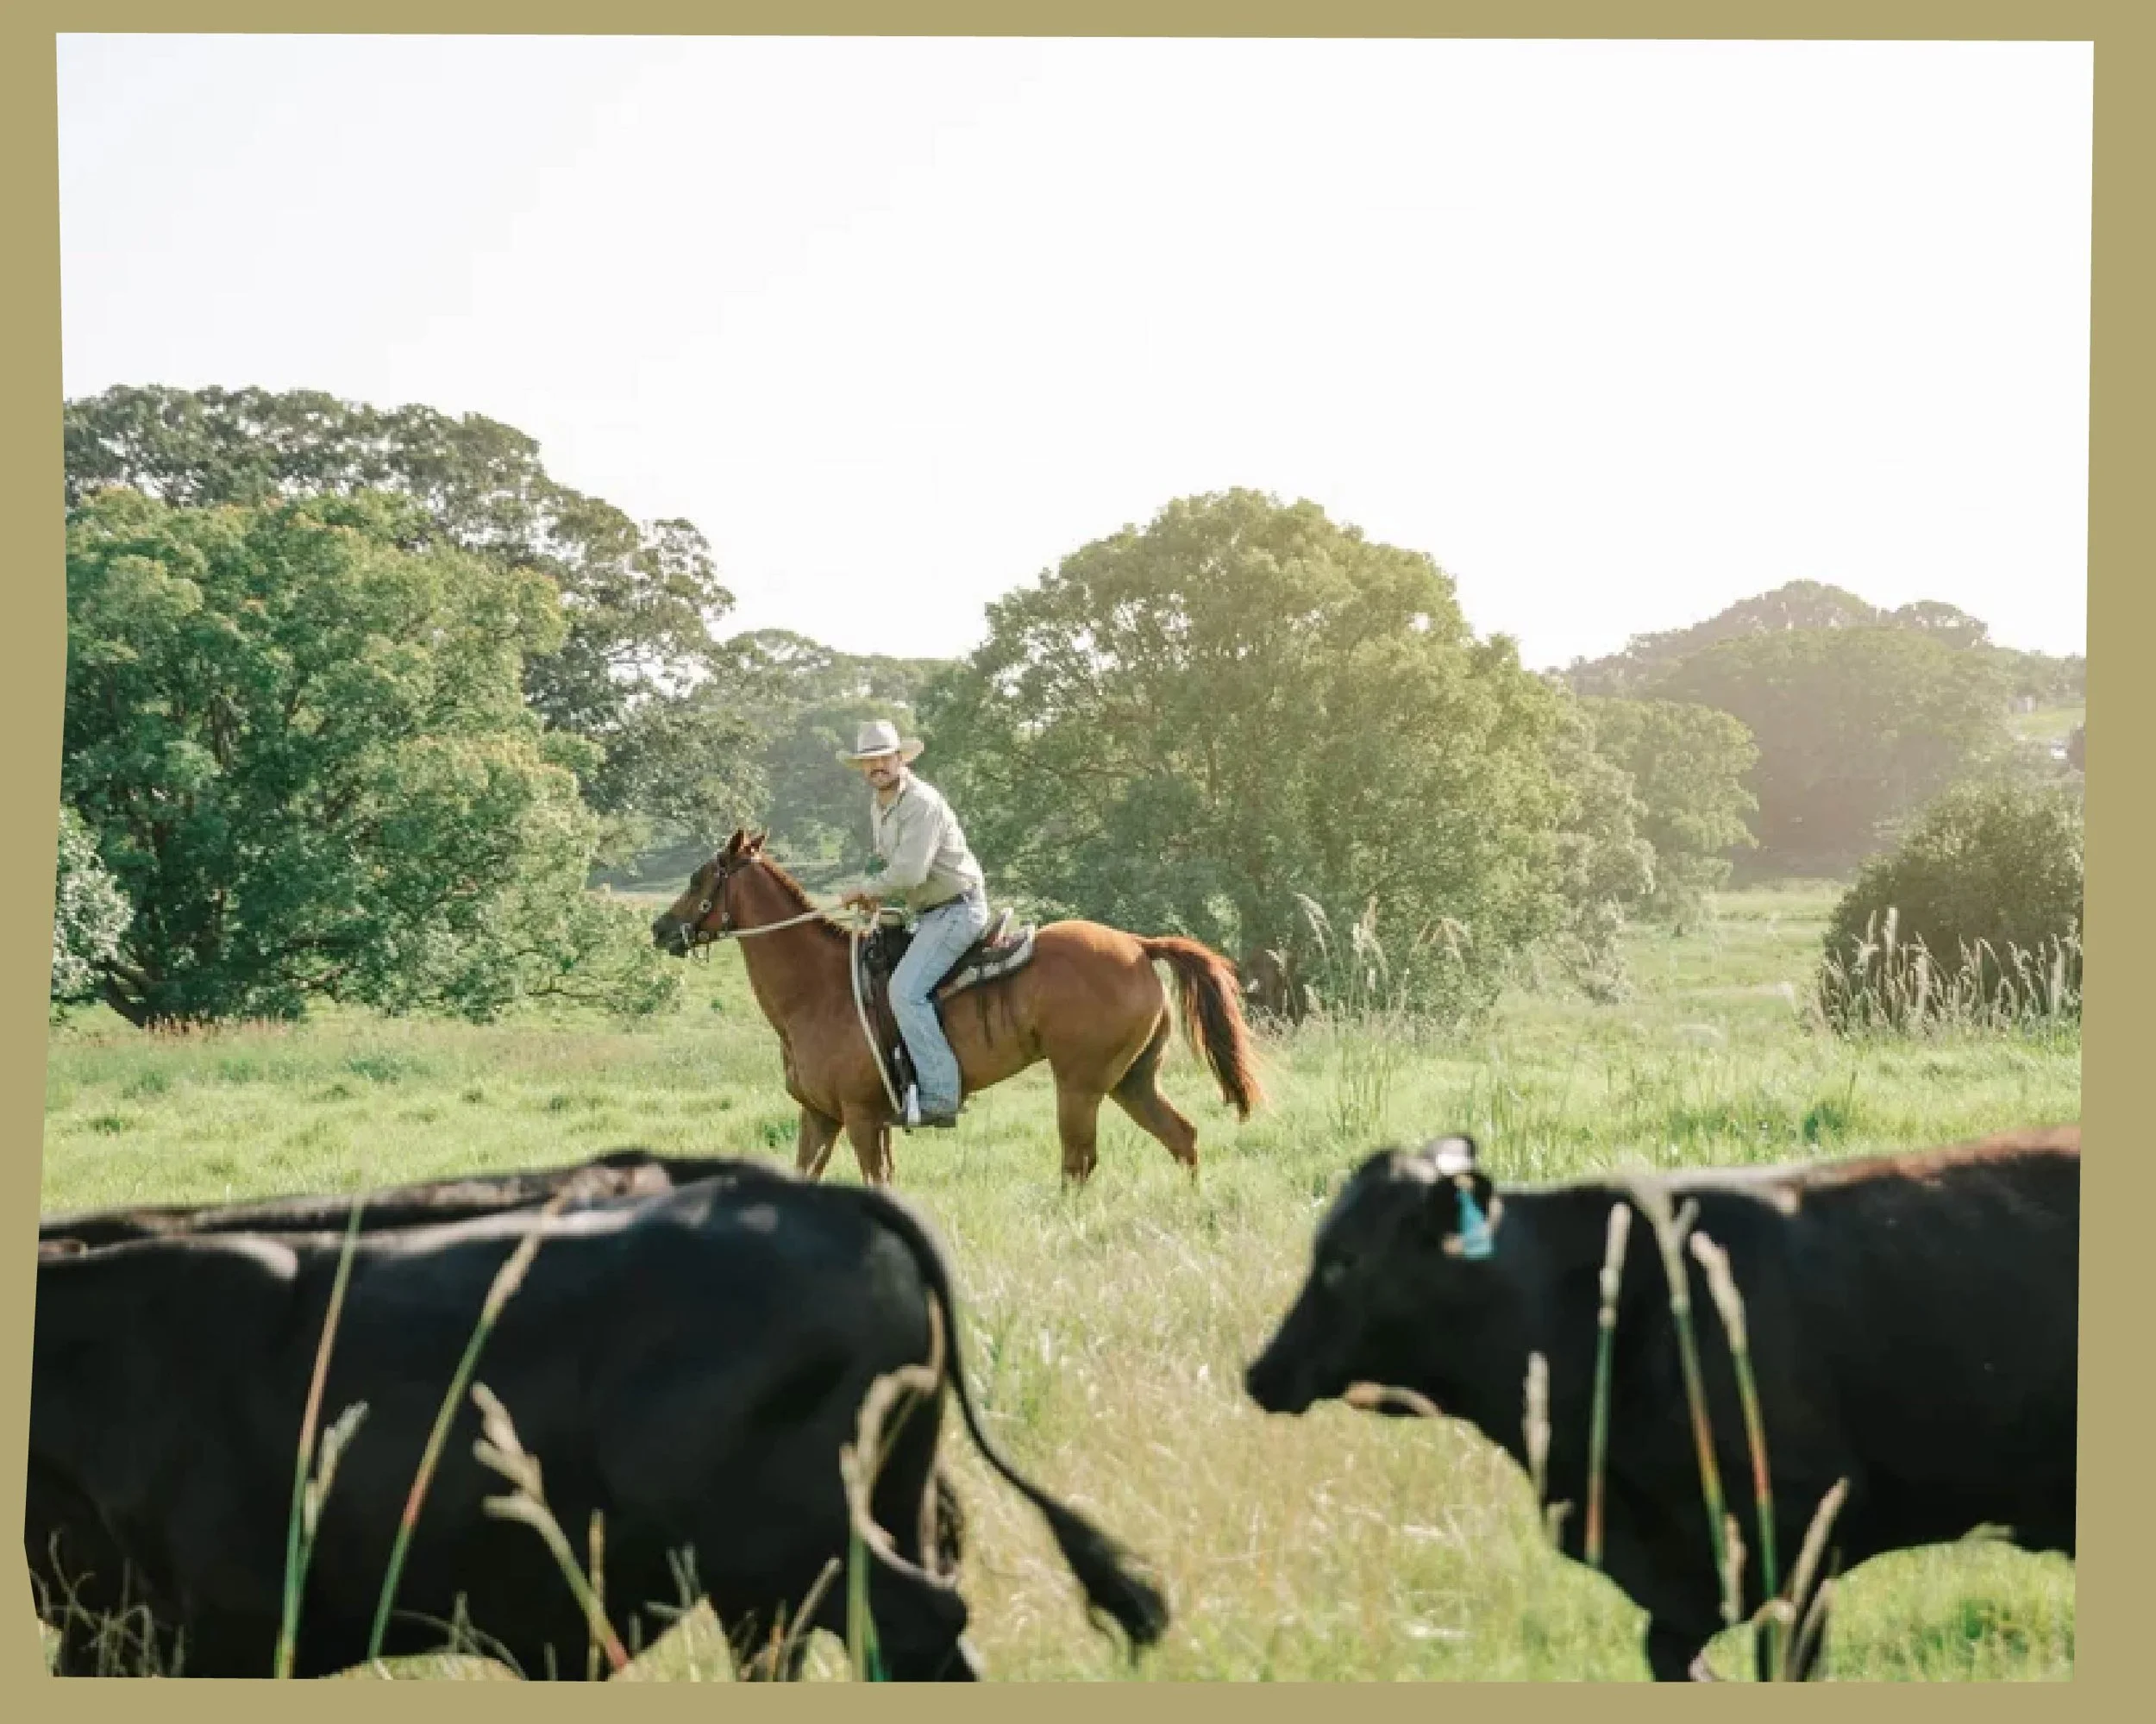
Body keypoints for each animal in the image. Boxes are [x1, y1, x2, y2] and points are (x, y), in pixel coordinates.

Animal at [31, 1167, 1165, 1680]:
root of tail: (816, 1196)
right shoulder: (105, 1629)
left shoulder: (204, 1626)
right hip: (850, 1528)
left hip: (795, 1540)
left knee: (916, 1624)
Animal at [649, 829, 1265, 1187]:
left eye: (700, 878)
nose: (661, 929)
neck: (817, 991)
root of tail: (1139, 945)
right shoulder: (819, 1116)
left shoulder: (861, 1118)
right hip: (1131, 1080)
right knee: (1181, 1138)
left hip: (1081, 1083)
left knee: (1079, 1162)